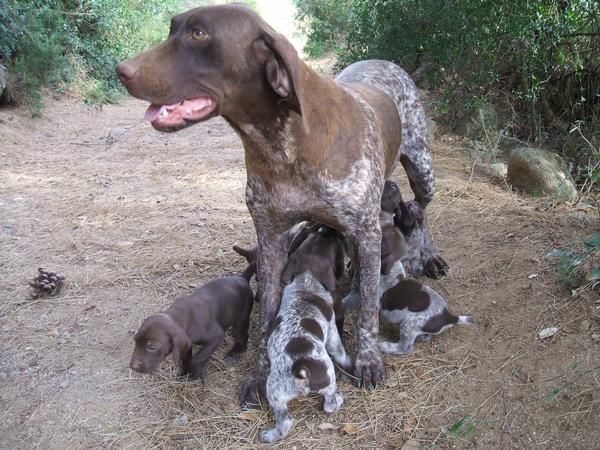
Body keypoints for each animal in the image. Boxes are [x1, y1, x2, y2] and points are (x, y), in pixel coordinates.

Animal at [116, 3, 446, 404]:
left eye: (199, 33)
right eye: (172, 28)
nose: (121, 70)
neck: (284, 144)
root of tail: (385, 61)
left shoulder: (367, 233)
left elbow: (369, 309)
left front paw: (368, 361)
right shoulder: (272, 240)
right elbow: (266, 319)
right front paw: (262, 375)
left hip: (422, 171)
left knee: (421, 210)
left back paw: (428, 254)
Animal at [262, 225, 352, 442]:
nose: (328, 228)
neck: (306, 281)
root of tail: (300, 369)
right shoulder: (333, 333)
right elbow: (340, 351)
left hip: (274, 392)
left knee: (284, 423)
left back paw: (269, 435)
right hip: (328, 377)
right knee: (329, 405)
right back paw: (338, 399)